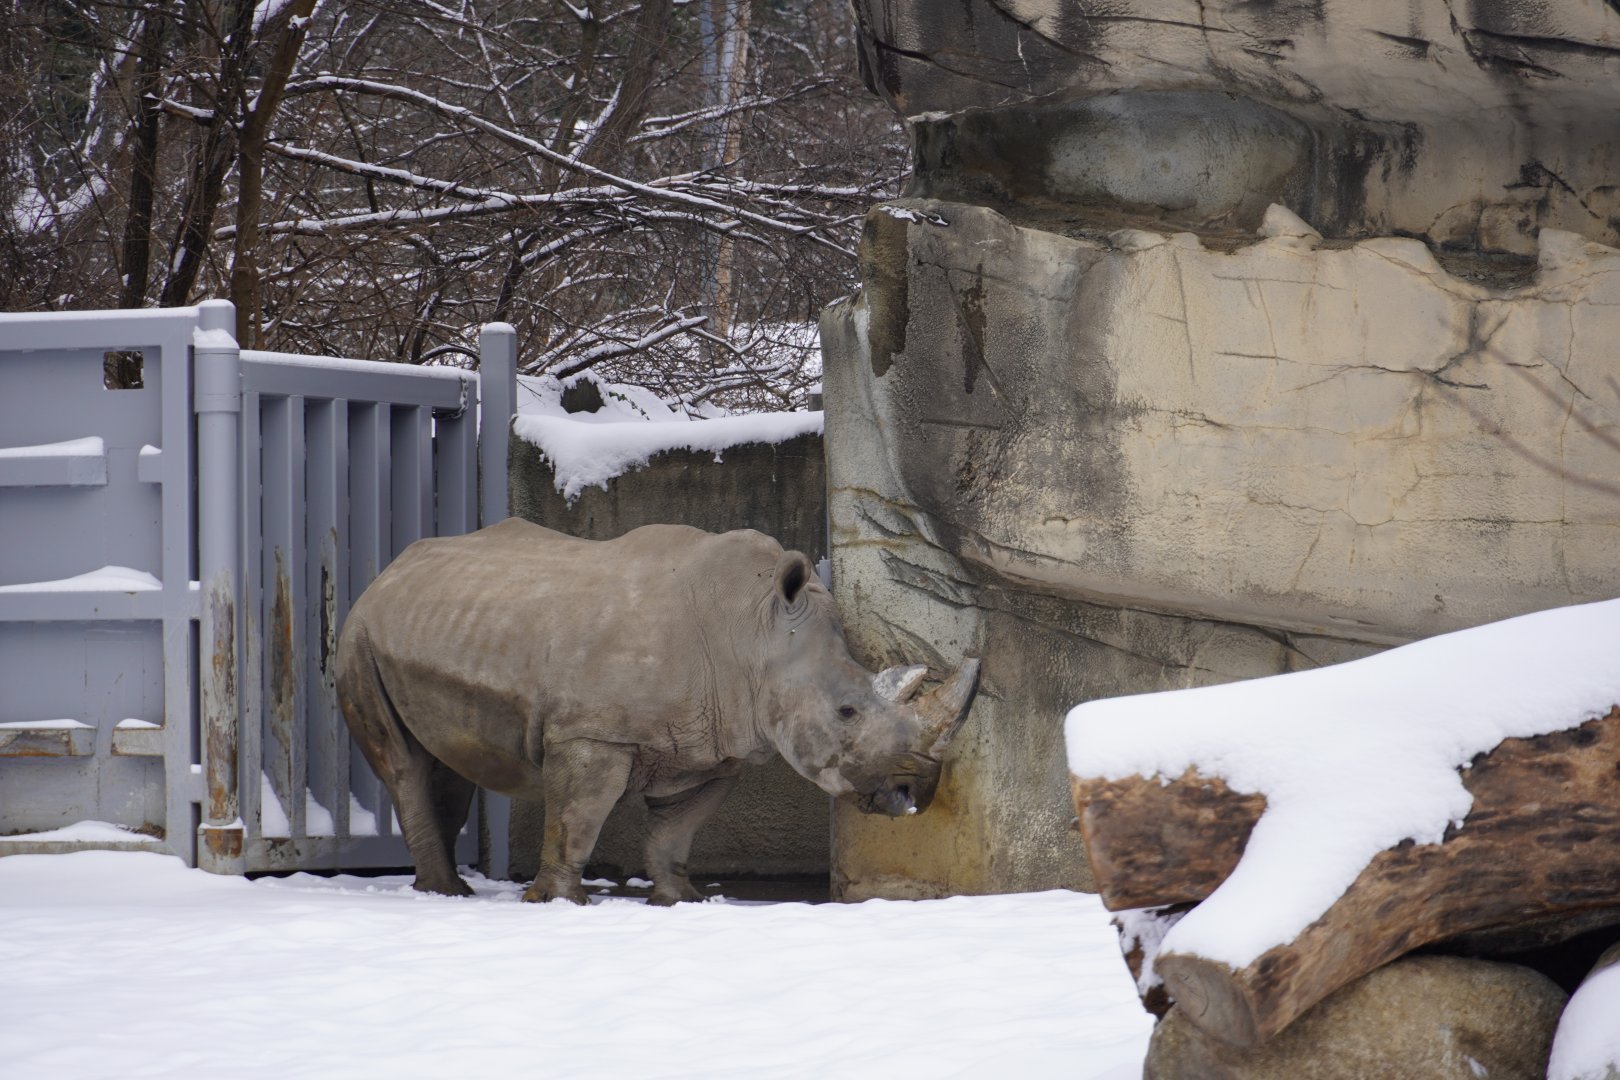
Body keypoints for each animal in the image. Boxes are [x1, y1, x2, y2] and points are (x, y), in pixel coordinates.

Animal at [335, 518, 980, 905]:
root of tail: (388, 570)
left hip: (438, 622)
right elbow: (578, 817)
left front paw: (680, 902)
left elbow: (677, 829)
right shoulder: (590, 734)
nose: (918, 786)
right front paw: (558, 903)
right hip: (358, 634)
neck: (759, 634)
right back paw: (445, 895)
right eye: (847, 711)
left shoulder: (715, 749)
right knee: (402, 763)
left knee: (445, 762)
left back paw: (448, 893)